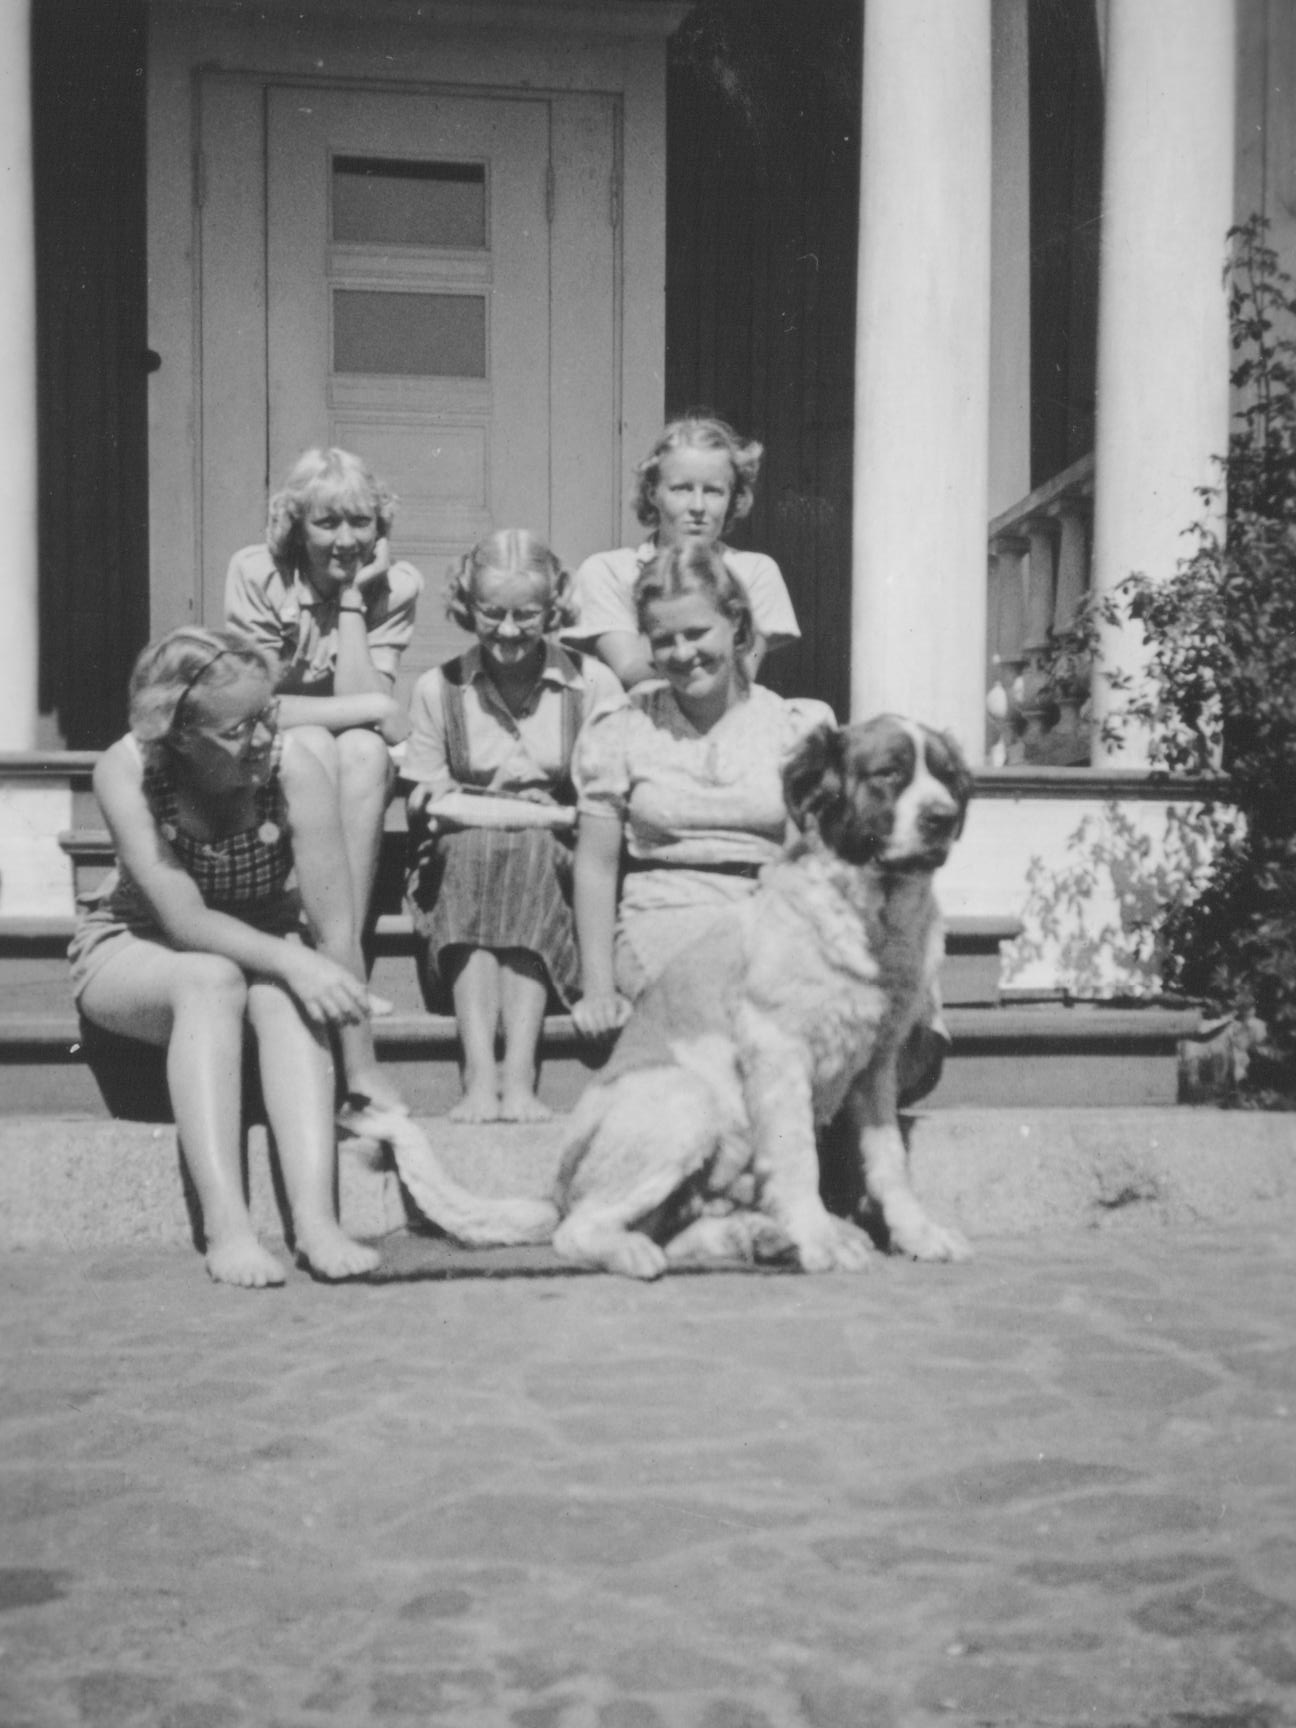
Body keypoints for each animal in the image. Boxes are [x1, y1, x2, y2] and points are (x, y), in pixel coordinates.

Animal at [359, 713, 974, 1278]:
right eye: (889, 774)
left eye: (946, 777)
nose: (942, 817)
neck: (869, 919)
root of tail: (553, 1191)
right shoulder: (778, 1053)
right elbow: (798, 1156)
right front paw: (818, 1238)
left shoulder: (875, 1067)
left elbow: (889, 1161)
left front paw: (916, 1233)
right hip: (687, 1099)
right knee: (577, 1229)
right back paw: (647, 1250)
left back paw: (755, 1237)